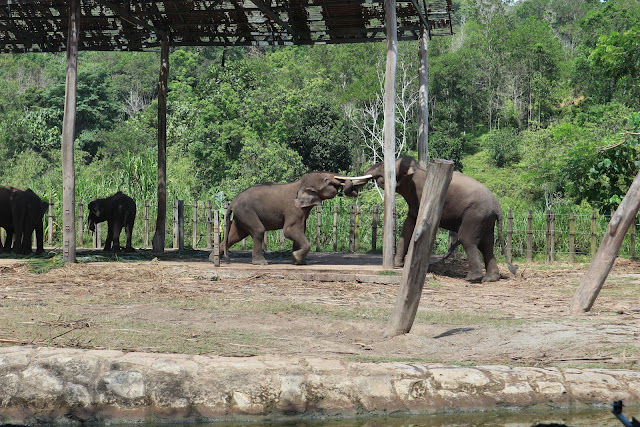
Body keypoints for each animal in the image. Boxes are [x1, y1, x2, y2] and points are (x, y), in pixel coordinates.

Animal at [212, 172, 357, 265]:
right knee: (258, 231)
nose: (348, 188)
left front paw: (299, 262)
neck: (299, 184)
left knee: (235, 235)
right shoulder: (293, 209)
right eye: (326, 180)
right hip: (246, 212)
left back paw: (212, 259)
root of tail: (232, 202)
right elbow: (289, 230)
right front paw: (297, 258)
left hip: (240, 215)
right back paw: (261, 263)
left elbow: (300, 230)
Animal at [347, 156, 517, 282]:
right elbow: (408, 226)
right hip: (486, 220)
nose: (353, 189)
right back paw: (490, 279)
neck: (416, 169)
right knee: (487, 244)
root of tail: (498, 207)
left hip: (475, 215)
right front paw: (398, 264)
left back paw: (472, 278)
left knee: (468, 239)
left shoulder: (422, 195)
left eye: (384, 168)